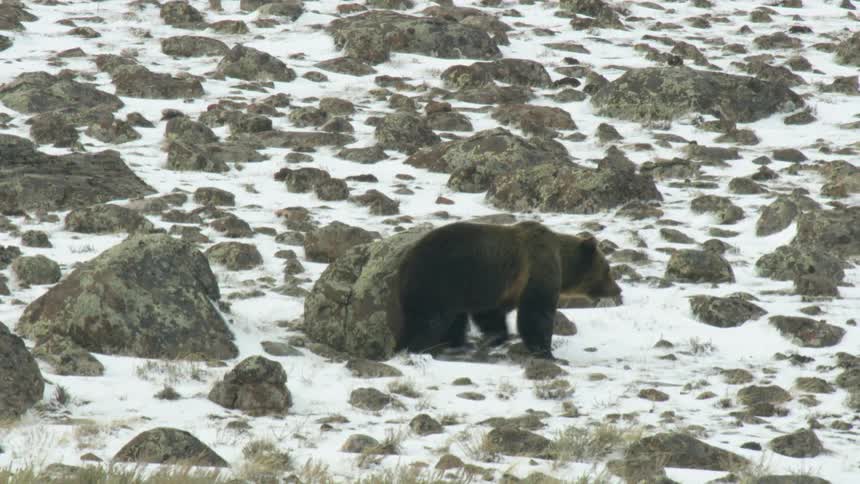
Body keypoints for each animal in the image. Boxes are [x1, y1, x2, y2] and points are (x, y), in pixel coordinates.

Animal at [394, 220, 621, 359]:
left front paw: (498, 337)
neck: (562, 262)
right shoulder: (538, 270)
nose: (618, 290)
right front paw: (547, 352)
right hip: (438, 282)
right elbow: (536, 314)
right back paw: (419, 347)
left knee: (452, 320)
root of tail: (404, 262)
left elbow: (490, 314)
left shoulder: (493, 289)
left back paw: (456, 343)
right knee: (429, 321)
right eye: (608, 269)